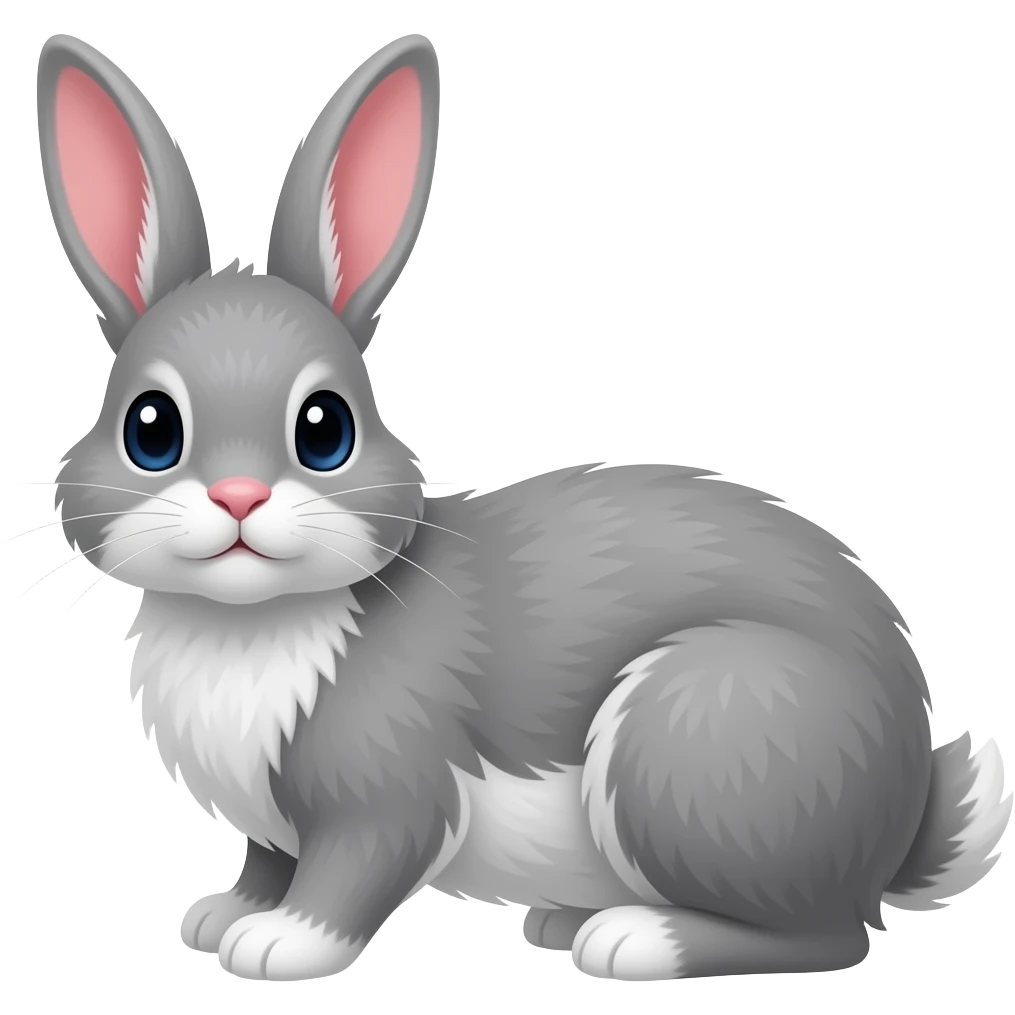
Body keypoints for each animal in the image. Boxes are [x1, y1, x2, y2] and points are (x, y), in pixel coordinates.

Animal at [33, 32, 1011, 984]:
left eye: (326, 428)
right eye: (150, 428)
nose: (239, 496)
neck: (246, 622)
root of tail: (898, 823)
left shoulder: (386, 791)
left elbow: (351, 874)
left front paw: (278, 945)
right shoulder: (272, 825)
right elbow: (267, 862)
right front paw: (219, 916)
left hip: (696, 732)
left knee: (827, 936)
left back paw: (635, 940)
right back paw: (561, 919)